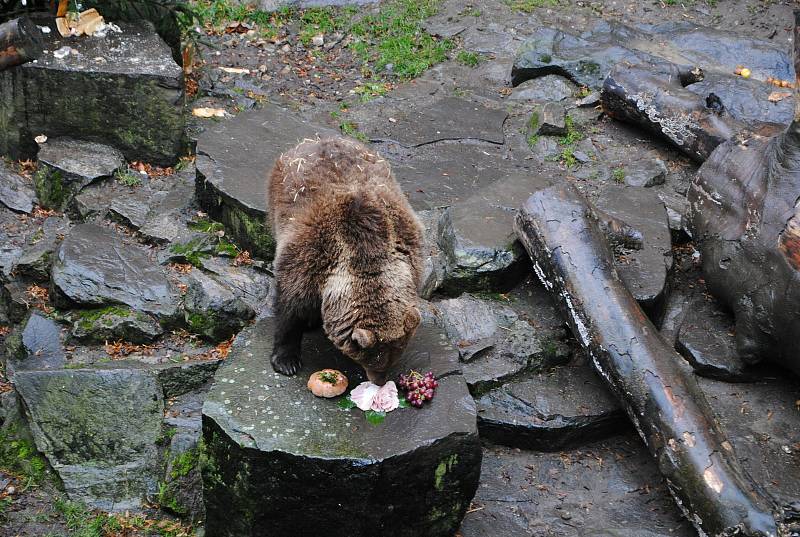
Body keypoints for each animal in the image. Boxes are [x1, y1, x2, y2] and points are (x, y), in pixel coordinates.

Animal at [264, 136, 424, 384]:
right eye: (372, 360)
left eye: (393, 358)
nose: (379, 381)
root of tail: (317, 139)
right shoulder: (308, 258)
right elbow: (289, 308)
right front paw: (287, 360)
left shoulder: (408, 252)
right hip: (278, 200)